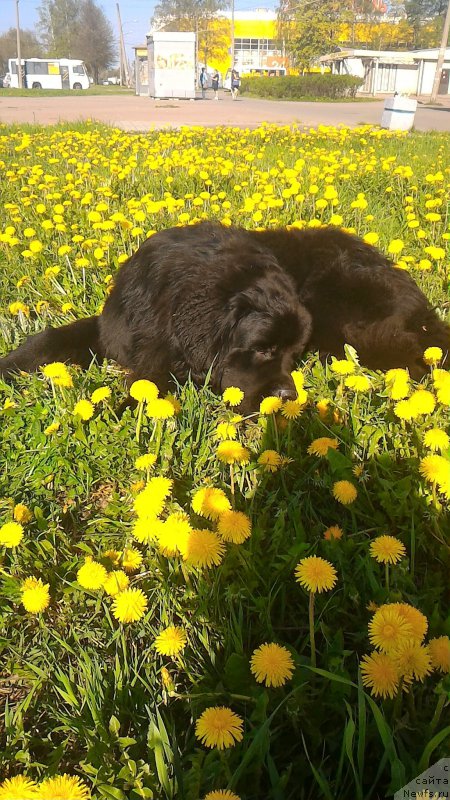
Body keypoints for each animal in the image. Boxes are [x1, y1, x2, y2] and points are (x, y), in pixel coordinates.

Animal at [0, 223, 448, 412]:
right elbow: (53, 338)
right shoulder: (117, 327)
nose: (289, 396)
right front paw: (11, 365)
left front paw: (126, 404)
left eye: (293, 356)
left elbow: (152, 377)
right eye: (263, 349)